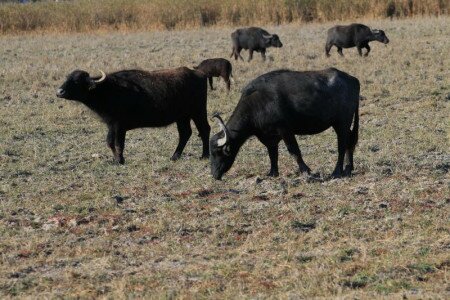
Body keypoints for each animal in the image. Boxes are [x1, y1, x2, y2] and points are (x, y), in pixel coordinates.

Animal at [56, 67, 211, 164]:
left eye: (77, 81)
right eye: (67, 78)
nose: (59, 92)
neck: (108, 90)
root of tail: (199, 74)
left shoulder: (120, 126)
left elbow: (119, 144)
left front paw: (120, 160)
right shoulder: (111, 125)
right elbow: (109, 142)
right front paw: (115, 160)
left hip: (198, 111)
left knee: (204, 129)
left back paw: (204, 155)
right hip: (182, 117)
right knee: (185, 133)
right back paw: (174, 156)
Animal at [209, 68, 360, 180]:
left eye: (218, 152)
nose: (214, 175)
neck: (256, 104)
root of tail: (353, 79)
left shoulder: (285, 130)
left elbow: (294, 150)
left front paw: (305, 170)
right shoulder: (269, 137)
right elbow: (272, 153)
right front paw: (272, 172)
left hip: (342, 122)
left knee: (342, 145)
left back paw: (337, 171)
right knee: (350, 142)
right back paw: (348, 168)